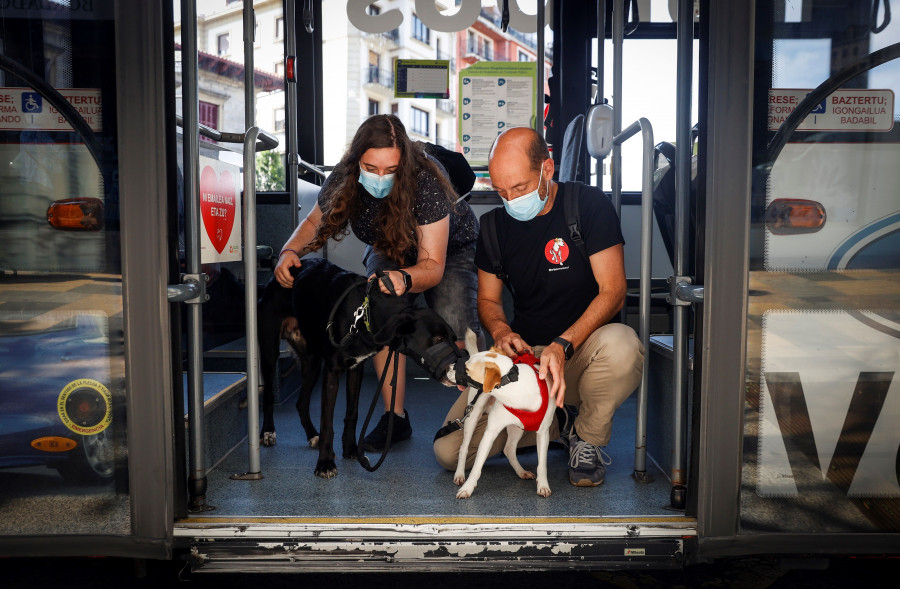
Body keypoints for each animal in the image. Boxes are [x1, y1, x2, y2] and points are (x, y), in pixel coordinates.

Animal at [258, 258, 460, 478]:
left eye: (453, 338)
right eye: (438, 339)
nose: (462, 365)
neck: (365, 314)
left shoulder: (357, 368)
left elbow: (352, 413)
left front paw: (351, 449)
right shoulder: (332, 371)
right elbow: (327, 422)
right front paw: (325, 463)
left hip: (312, 363)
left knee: (301, 403)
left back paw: (312, 435)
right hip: (270, 351)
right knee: (268, 394)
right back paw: (267, 432)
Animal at [448, 330, 556, 496]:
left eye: (466, 369)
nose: (449, 367)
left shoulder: (543, 433)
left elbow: (542, 464)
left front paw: (543, 485)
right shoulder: (490, 433)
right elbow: (477, 467)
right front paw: (468, 487)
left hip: (517, 427)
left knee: (509, 449)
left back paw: (521, 471)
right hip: (473, 416)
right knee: (463, 448)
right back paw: (459, 474)